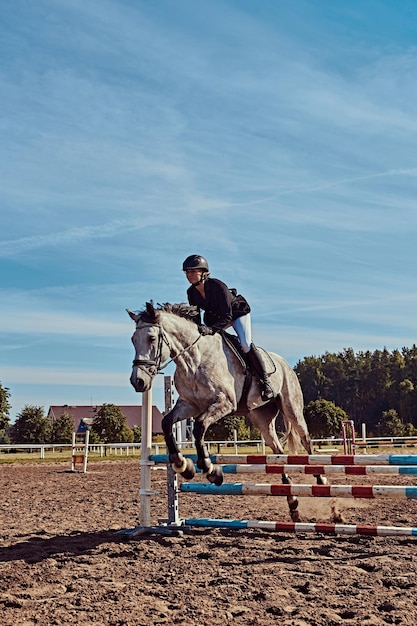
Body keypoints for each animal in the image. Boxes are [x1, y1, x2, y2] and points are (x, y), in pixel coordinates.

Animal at [126, 300, 324, 520]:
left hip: (292, 408)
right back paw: (292, 503)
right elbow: (167, 423)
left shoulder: (224, 403)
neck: (194, 359)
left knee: (305, 439)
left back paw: (320, 481)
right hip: (262, 420)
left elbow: (199, 427)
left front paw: (210, 470)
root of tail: (285, 364)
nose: (138, 381)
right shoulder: (188, 405)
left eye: (152, 338)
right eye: (133, 340)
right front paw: (182, 464)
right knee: (278, 454)